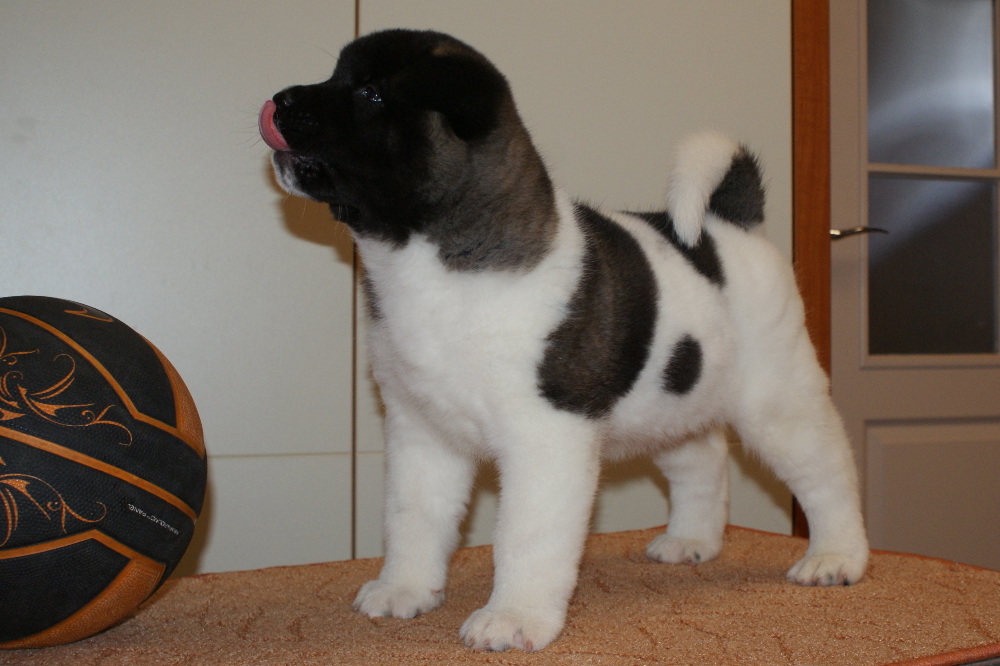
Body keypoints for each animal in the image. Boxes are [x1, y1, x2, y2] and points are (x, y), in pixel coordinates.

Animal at [259, 29, 869, 652]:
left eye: (371, 94)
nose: (279, 101)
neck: (433, 262)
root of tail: (732, 222)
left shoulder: (546, 437)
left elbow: (526, 536)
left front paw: (515, 616)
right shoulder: (422, 432)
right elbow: (413, 517)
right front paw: (404, 589)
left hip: (778, 400)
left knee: (827, 469)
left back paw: (837, 557)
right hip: (674, 396)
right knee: (703, 458)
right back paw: (692, 540)